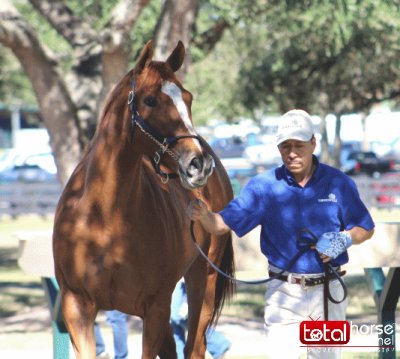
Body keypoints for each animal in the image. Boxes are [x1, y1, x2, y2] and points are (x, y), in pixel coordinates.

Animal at [52, 40, 236, 358]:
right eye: (150, 100)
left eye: (187, 98)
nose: (199, 164)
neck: (102, 217)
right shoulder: (76, 307)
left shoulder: (155, 307)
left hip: (202, 281)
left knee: (194, 345)